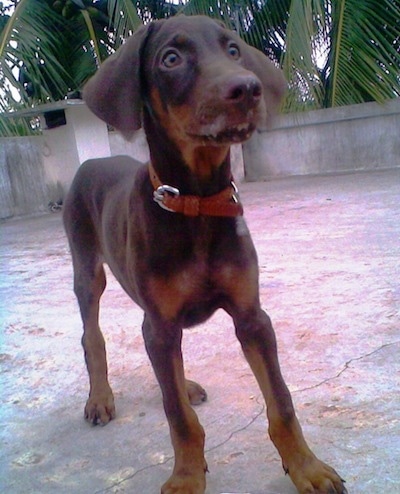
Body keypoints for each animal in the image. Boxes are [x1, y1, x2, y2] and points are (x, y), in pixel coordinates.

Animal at [63, 13, 346, 492]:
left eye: (233, 50)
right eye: (170, 59)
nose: (247, 89)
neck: (196, 202)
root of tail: (91, 162)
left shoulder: (251, 316)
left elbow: (282, 402)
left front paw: (306, 467)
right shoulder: (161, 323)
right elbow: (177, 416)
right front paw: (186, 477)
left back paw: (186, 382)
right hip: (88, 271)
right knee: (93, 336)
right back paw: (100, 398)